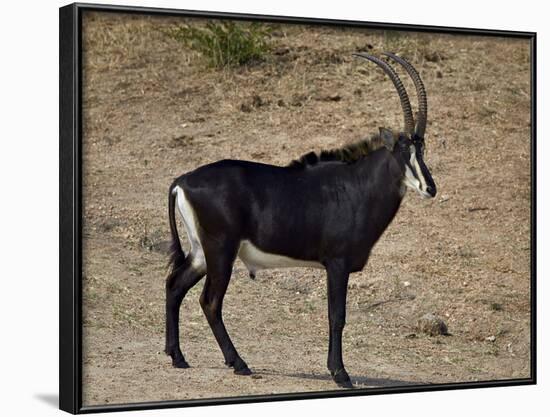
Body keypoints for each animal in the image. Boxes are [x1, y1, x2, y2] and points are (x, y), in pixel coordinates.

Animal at [166, 52, 438, 386]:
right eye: (401, 152)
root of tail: (183, 180)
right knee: (210, 301)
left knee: (175, 285)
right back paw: (239, 363)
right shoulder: (337, 264)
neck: (356, 186)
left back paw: (178, 357)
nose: (430, 188)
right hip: (221, 251)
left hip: (202, 252)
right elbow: (337, 316)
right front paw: (340, 373)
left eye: (421, 149)